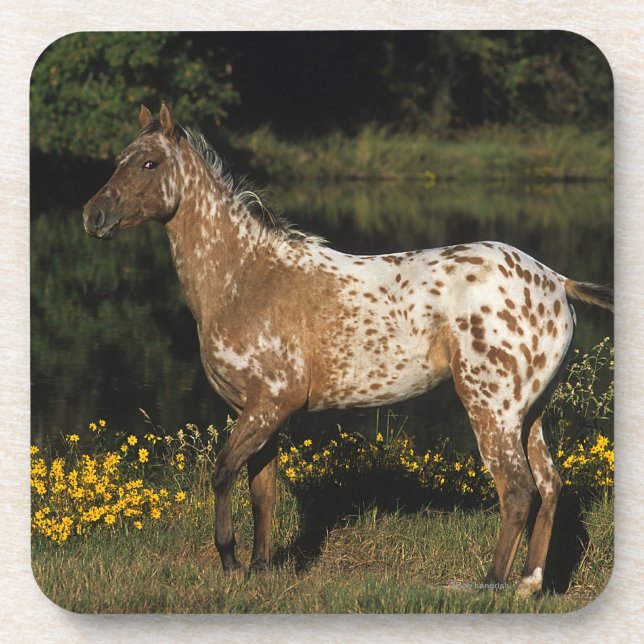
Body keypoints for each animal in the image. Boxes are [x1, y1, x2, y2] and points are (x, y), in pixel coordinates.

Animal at [83, 102, 613, 596]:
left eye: (149, 163)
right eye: (118, 159)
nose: (94, 216)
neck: (244, 277)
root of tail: (555, 281)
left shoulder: (268, 405)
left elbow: (223, 472)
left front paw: (231, 562)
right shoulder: (261, 412)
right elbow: (262, 491)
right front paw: (260, 569)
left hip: (493, 409)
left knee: (518, 491)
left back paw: (490, 586)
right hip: (530, 413)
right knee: (549, 486)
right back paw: (528, 584)